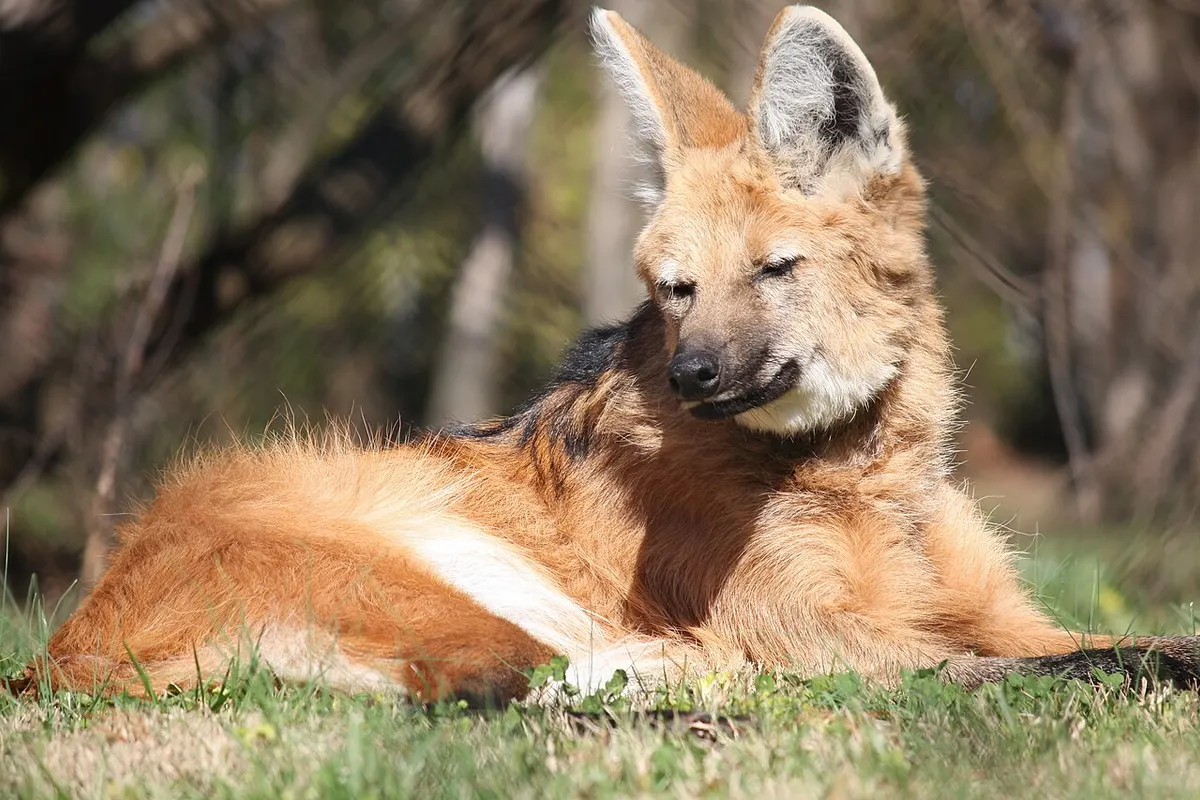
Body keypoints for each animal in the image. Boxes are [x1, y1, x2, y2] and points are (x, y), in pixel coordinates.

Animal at [12, 5, 1199, 703]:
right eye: (676, 289)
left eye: (774, 270)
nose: (692, 376)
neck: (855, 467)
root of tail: (58, 650)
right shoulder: (804, 630)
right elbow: (1011, 663)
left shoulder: (993, 603)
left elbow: (1060, 637)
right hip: (443, 572)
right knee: (506, 682)